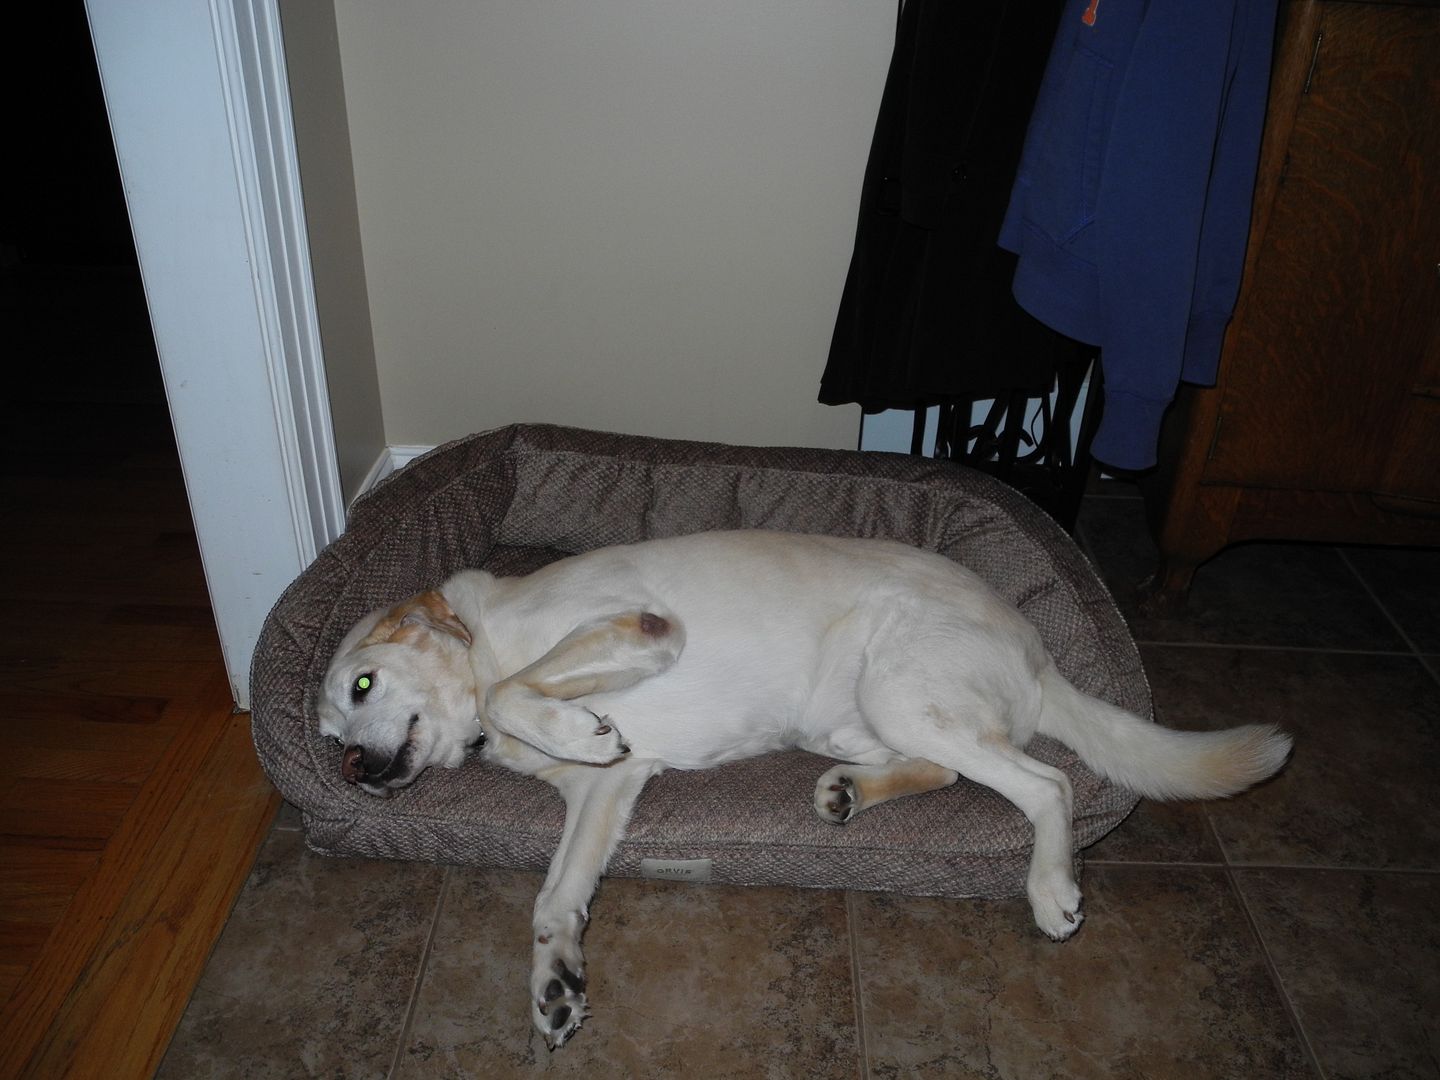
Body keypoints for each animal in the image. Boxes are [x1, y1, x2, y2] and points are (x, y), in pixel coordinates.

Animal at [318, 529, 1296, 1054]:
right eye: (328, 738)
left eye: (363, 686)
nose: (355, 771)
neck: (485, 635)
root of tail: (1040, 653)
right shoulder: (606, 791)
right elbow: (555, 901)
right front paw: (555, 983)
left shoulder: (638, 628)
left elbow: (511, 691)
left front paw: (562, 717)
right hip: (858, 718)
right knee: (949, 768)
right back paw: (849, 795)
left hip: (902, 689)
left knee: (1045, 780)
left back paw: (1053, 889)